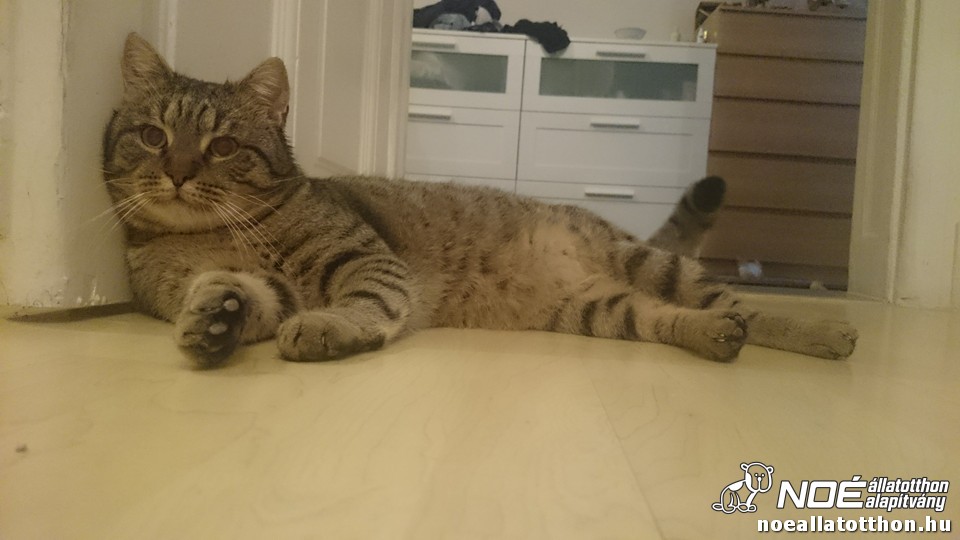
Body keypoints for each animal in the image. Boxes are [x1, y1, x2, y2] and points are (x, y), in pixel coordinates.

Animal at [102, 33, 857, 368]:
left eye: (223, 146)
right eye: (152, 135)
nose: (176, 171)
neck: (210, 234)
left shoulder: (365, 261)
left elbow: (366, 302)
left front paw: (332, 328)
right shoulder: (269, 286)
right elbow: (244, 296)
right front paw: (216, 316)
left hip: (651, 265)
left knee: (746, 305)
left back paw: (822, 333)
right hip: (601, 311)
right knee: (676, 319)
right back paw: (711, 338)